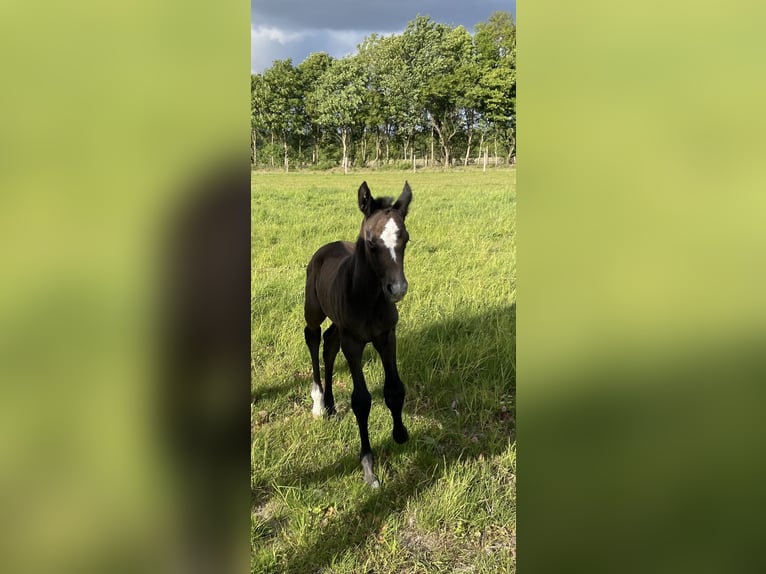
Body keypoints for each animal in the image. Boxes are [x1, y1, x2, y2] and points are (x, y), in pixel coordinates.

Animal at [303, 181, 412, 488]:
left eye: (406, 239)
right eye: (372, 242)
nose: (397, 289)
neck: (368, 298)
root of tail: (327, 247)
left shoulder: (386, 337)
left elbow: (394, 389)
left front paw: (400, 433)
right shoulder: (353, 343)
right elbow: (361, 401)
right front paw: (368, 466)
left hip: (339, 325)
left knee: (329, 344)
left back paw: (330, 405)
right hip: (313, 310)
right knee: (313, 338)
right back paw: (319, 403)